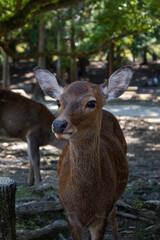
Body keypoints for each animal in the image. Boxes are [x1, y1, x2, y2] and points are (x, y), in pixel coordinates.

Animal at [34, 65, 133, 240]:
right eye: (58, 101)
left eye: (91, 102)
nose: (58, 124)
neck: (84, 204)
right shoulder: (70, 215)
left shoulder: (101, 216)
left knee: (114, 212)